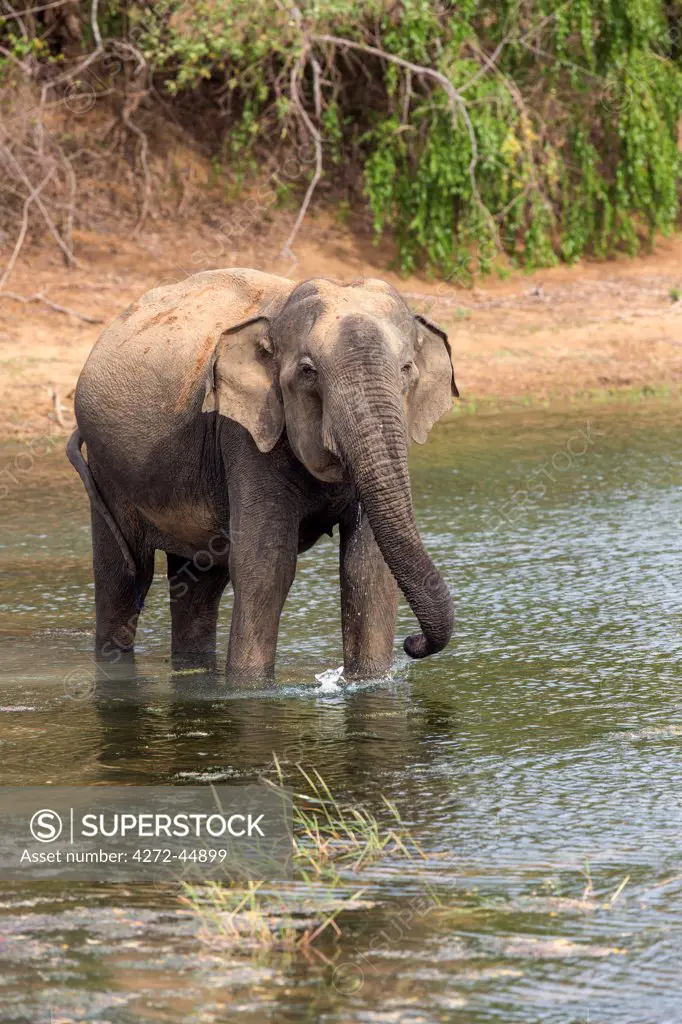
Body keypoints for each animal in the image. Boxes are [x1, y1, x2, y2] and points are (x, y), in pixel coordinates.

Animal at [67, 270, 456, 688]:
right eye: (307, 372)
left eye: (407, 370)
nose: (413, 643)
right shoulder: (246, 437)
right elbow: (266, 566)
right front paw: (248, 689)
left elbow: (366, 569)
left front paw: (367, 683)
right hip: (107, 472)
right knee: (123, 581)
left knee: (199, 586)